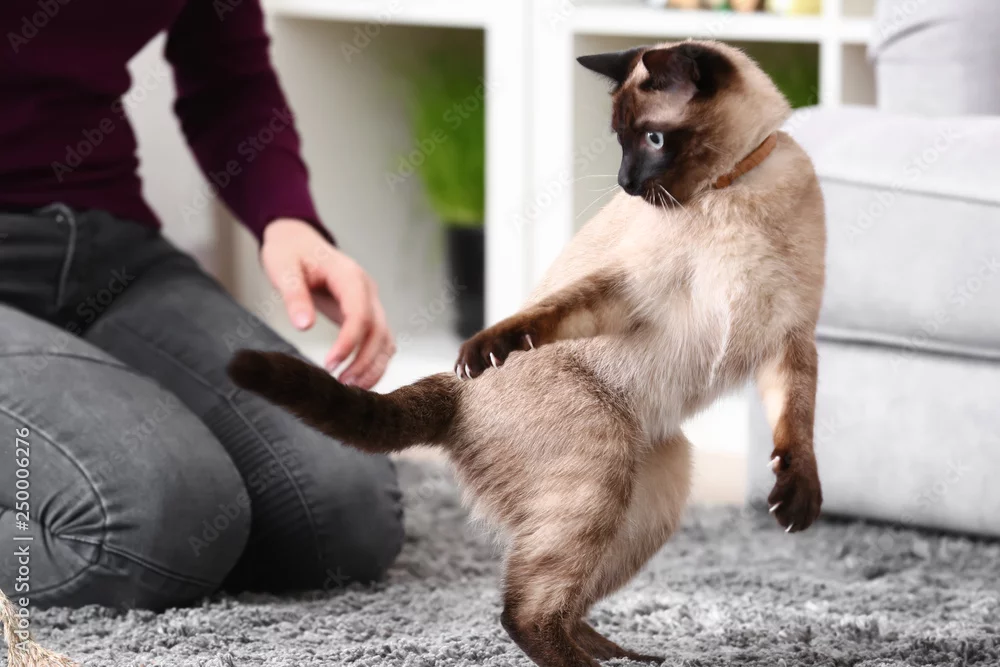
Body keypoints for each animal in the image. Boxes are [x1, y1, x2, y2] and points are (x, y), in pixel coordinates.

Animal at [228, 40, 826, 667]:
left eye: (655, 140)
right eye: (621, 140)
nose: (626, 183)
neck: (730, 191)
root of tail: (455, 393)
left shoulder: (789, 339)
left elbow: (797, 420)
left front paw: (798, 496)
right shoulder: (630, 291)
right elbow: (547, 312)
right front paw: (486, 346)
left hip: (653, 494)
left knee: (563, 603)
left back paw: (622, 655)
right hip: (602, 464)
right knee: (523, 611)